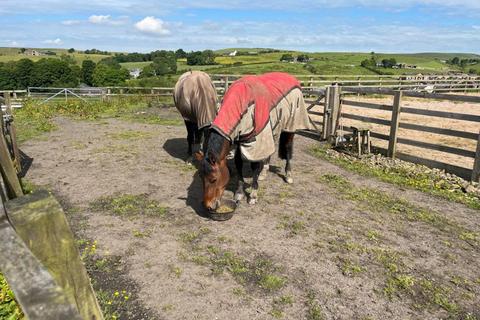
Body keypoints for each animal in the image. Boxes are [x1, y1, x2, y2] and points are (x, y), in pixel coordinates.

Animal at [195, 73, 312, 211]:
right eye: (201, 178)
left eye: (213, 179)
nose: (208, 206)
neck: (242, 104)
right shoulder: (240, 140)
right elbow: (239, 164)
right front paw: (239, 192)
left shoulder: (256, 142)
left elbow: (255, 167)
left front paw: (253, 195)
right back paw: (264, 172)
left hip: (290, 126)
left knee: (288, 149)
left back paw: (288, 175)